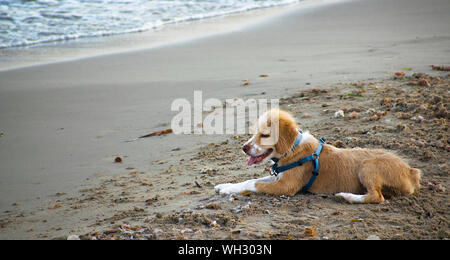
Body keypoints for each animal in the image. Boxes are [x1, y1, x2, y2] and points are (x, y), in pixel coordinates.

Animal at [215, 108, 422, 203]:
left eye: (265, 135)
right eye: (254, 133)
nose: (244, 148)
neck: (292, 149)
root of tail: (411, 171)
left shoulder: (286, 186)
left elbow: (254, 184)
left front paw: (227, 189)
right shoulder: (278, 177)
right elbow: (250, 180)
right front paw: (226, 185)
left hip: (368, 166)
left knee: (376, 197)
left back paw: (346, 196)